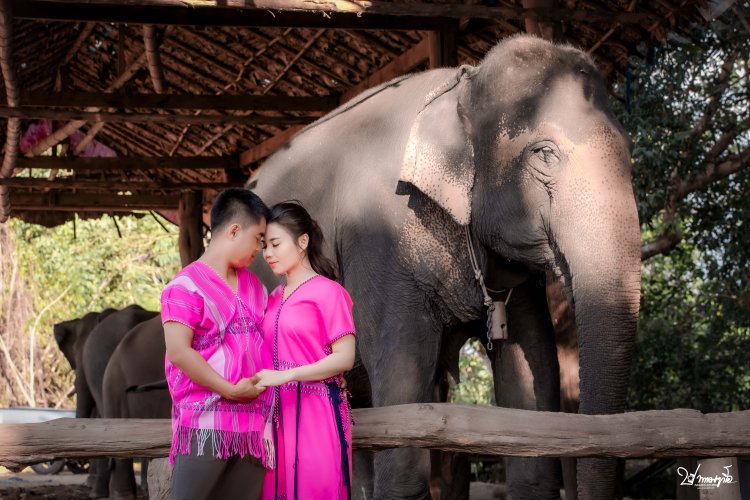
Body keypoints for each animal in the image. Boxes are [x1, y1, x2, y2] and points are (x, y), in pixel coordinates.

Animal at [253, 36, 640, 500]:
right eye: (544, 153)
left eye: (631, 153)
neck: (460, 87)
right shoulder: (378, 240)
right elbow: (402, 375)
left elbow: (530, 364)